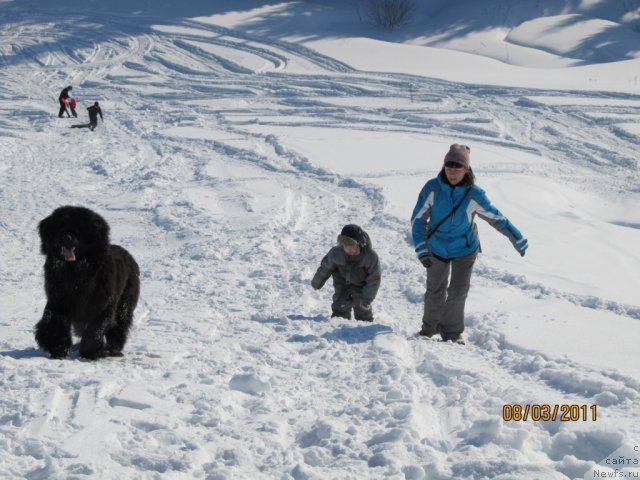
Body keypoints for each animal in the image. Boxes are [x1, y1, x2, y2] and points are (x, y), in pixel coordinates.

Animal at [34, 206, 139, 360]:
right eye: (60, 228)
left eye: (78, 230)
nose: (66, 237)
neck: (75, 271)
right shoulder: (58, 300)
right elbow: (54, 322)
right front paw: (57, 347)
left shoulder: (102, 305)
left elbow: (95, 329)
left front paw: (90, 351)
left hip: (124, 305)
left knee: (119, 327)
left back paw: (113, 349)